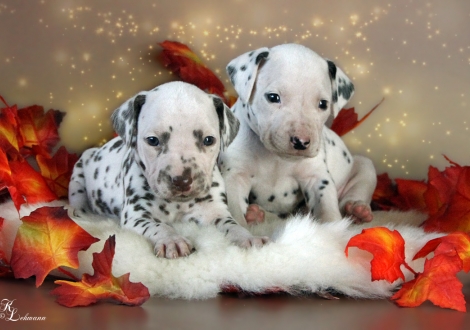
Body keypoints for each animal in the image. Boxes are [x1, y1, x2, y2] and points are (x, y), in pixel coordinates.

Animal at [69, 81, 268, 260]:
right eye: (152, 140)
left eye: (209, 140)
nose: (182, 181)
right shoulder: (137, 216)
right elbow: (159, 226)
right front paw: (172, 240)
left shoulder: (215, 212)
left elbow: (233, 225)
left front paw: (248, 238)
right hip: (78, 174)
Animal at [220, 43, 378, 224]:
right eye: (273, 97)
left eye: (323, 104)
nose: (301, 141)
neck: (276, 159)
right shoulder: (235, 177)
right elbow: (234, 211)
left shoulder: (317, 178)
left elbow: (328, 209)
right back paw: (255, 215)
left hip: (364, 166)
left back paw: (357, 211)